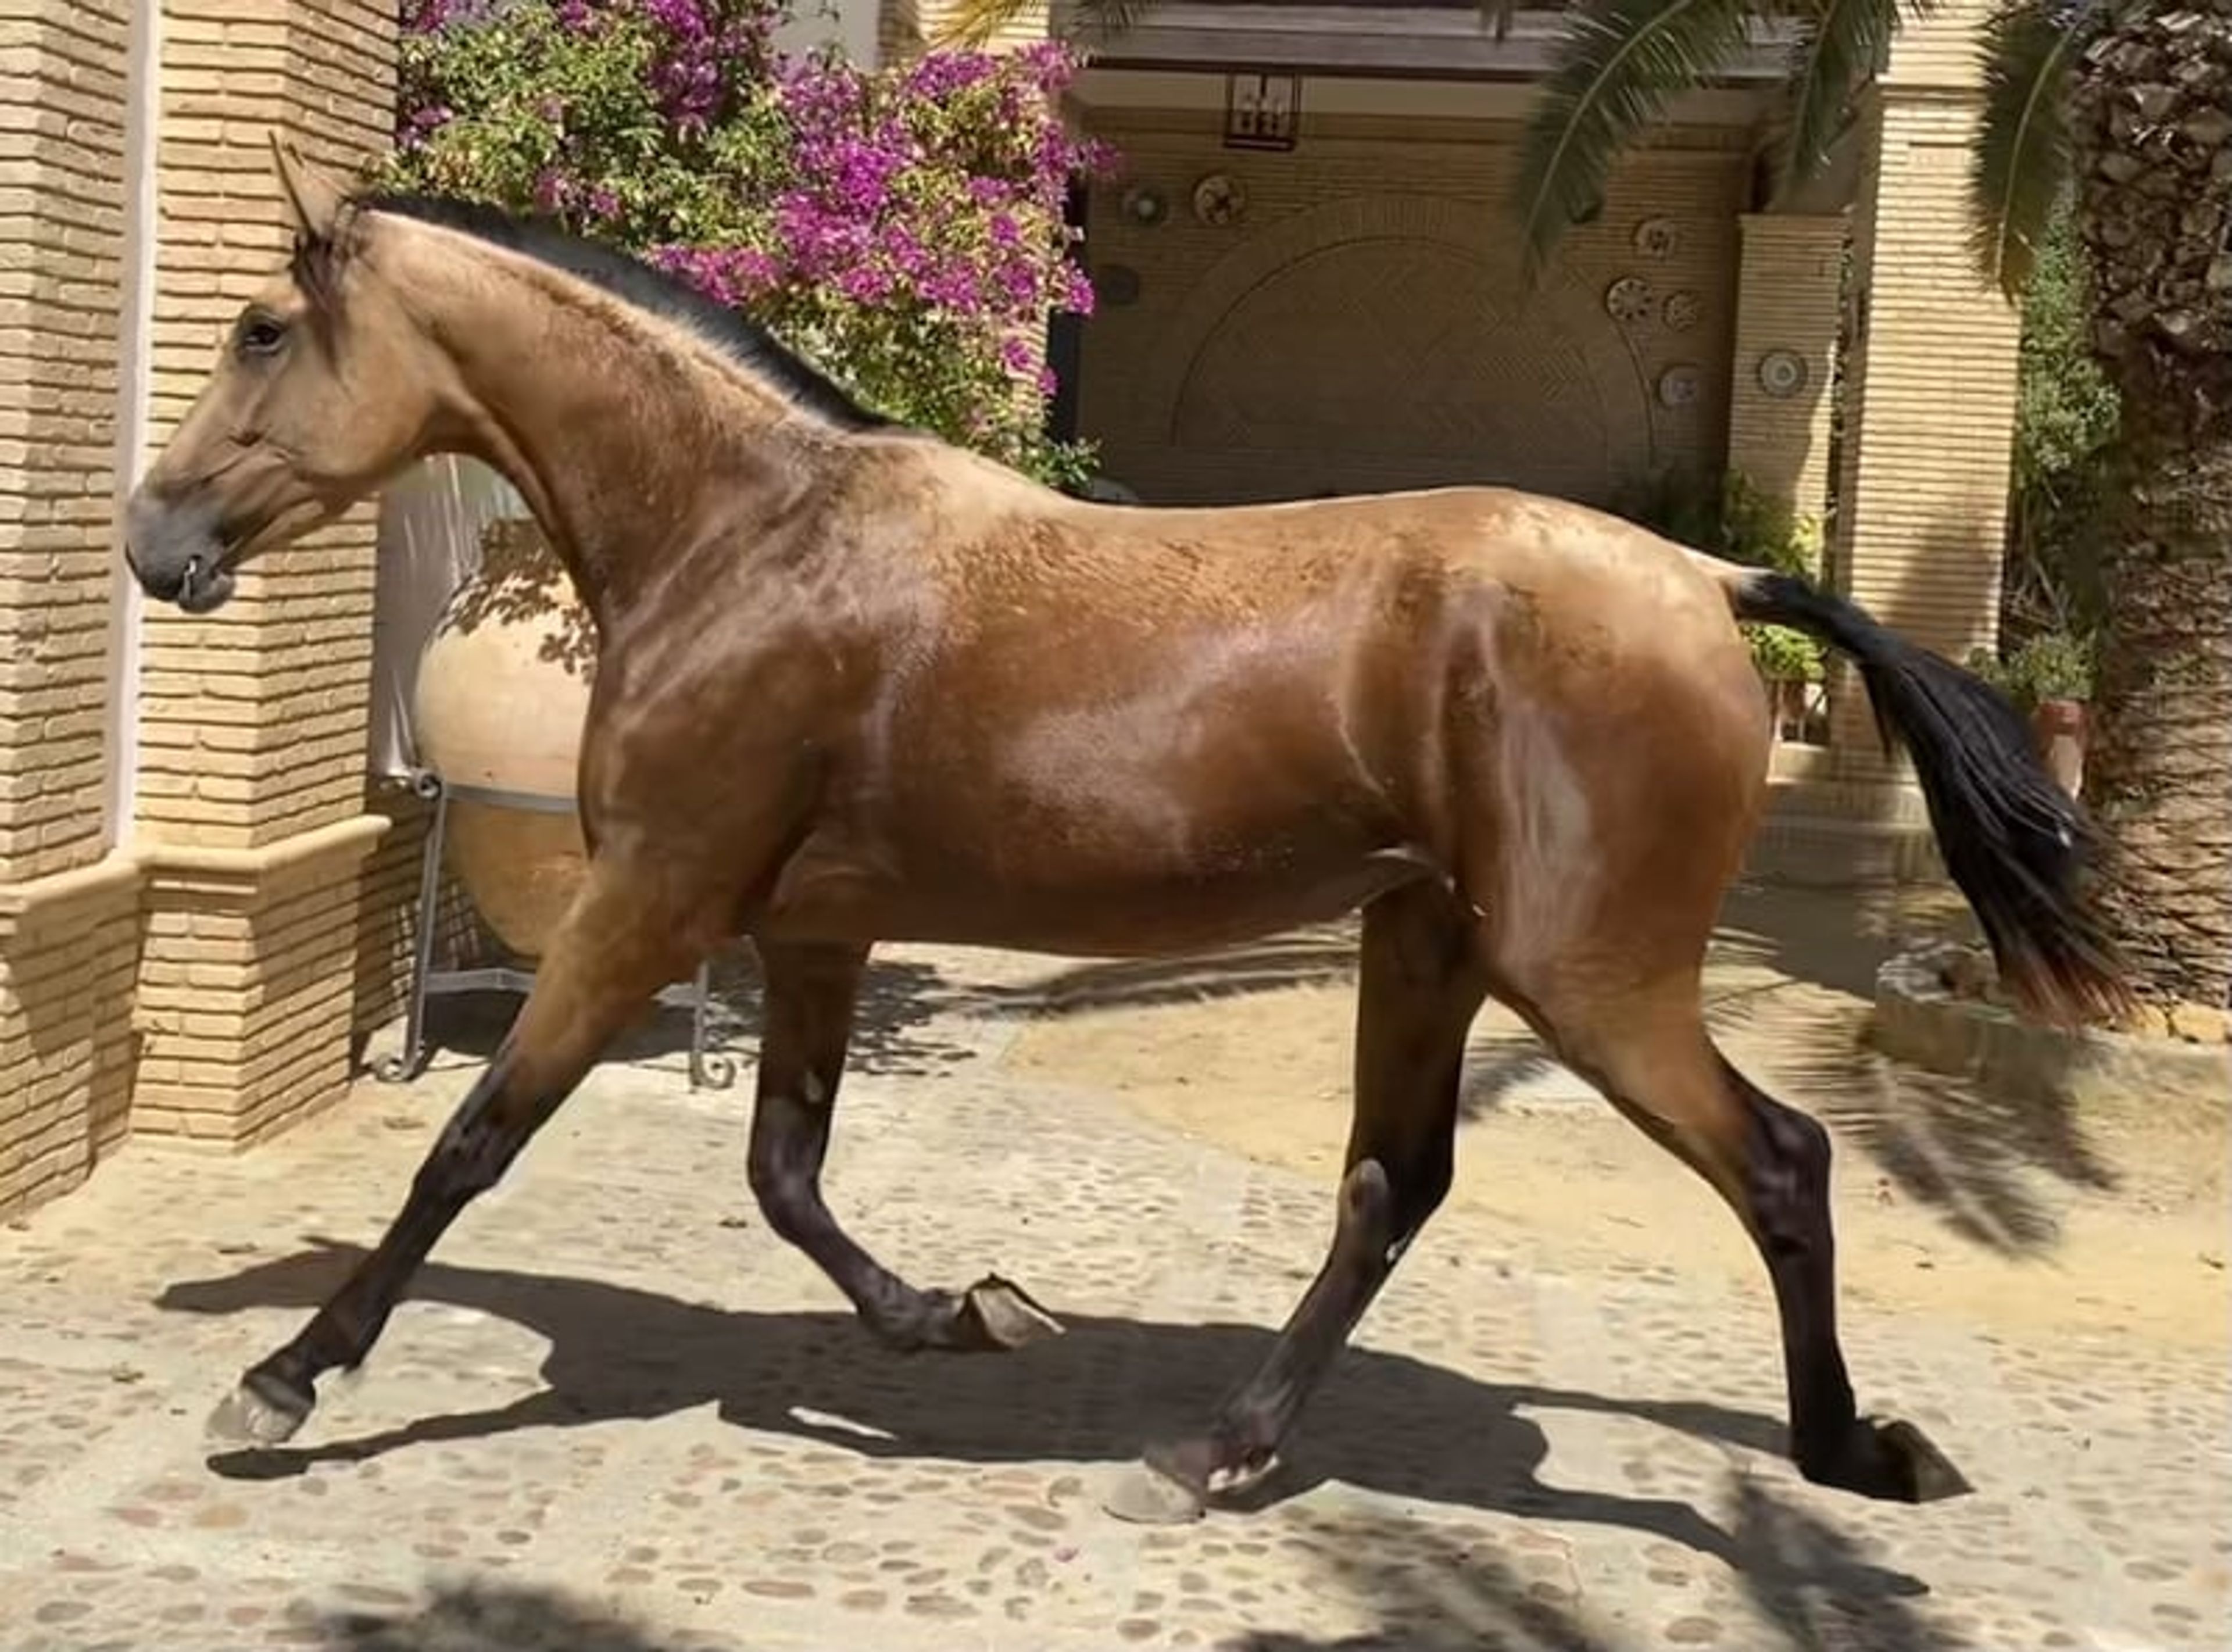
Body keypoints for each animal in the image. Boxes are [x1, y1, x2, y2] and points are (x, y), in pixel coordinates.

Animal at [123, 139, 2125, 1521]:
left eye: (260, 327)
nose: (155, 539)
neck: (752, 535)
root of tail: (1713, 579)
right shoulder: (811, 926)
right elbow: (784, 1171)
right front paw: (968, 1312)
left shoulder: (653, 901)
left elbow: (472, 1141)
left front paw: (280, 1381)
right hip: (1430, 938)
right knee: (1394, 1184)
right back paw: (1214, 1449)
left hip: (1592, 975)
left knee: (1778, 1160)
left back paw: (1852, 1448)